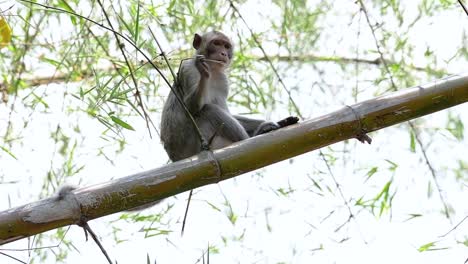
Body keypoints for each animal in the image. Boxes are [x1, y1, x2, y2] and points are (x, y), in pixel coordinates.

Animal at [159, 31, 298, 162]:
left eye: (226, 46)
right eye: (216, 43)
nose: (223, 54)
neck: (213, 69)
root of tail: (175, 158)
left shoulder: (223, 81)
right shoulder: (189, 68)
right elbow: (191, 108)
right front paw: (203, 72)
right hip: (195, 146)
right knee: (208, 110)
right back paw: (255, 134)